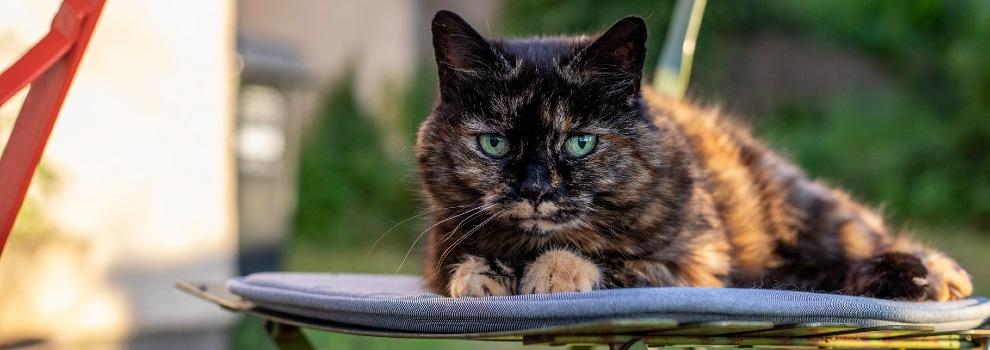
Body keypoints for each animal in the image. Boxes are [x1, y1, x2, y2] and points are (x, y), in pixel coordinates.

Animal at [416, 10, 976, 300]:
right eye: (494, 143)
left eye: (581, 141)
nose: (535, 189)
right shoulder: (440, 246)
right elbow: (459, 265)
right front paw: (482, 274)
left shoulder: (691, 263)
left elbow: (613, 258)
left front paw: (554, 271)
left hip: (812, 210)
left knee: (863, 235)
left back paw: (937, 274)